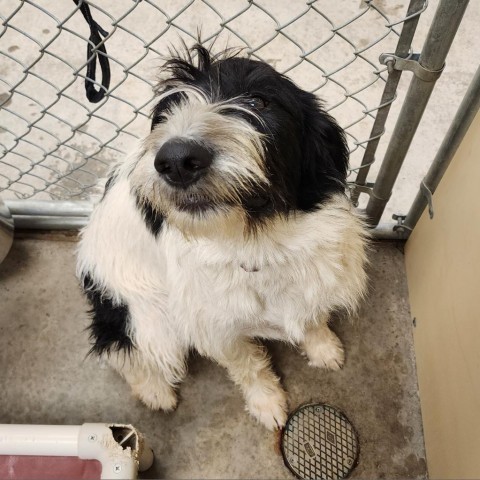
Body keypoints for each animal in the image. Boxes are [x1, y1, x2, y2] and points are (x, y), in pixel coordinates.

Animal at [77, 46, 368, 432]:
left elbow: (311, 316)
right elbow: (247, 365)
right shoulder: (214, 324)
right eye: (168, 110)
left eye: (258, 101)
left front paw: (322, 347)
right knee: (117, 347)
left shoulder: (318, 272)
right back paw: (154, 390)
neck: (256, 239)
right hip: (148, 317)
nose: (176, 160)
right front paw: (267, 402)